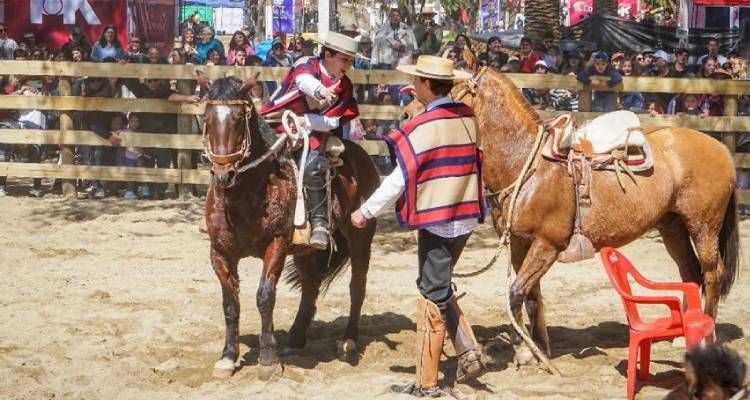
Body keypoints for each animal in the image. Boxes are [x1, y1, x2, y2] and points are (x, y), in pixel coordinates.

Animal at [204, 76, 382, 380]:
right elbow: (230, 303)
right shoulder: (219, 252)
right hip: (306, 251)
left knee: (357, 286)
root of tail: (364, 158)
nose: (223, 174)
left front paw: (267, 359)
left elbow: (265, 297)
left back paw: (348, 341)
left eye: (238, 119)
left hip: (360, 237)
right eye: (206, 117)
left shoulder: (275, 245)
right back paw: (295, 341)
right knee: (310, 287)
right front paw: (227, 357)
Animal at [406, 68, 740, 366]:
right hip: (673, 227)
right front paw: (539, 348)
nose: (408, 113)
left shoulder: (547, 245)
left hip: (703, 225)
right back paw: (683, 334)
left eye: (448, 88)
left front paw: (525, 352)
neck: (525, 162)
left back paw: (705, 334)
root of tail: (721, 147)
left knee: (712, 274)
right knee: (691, 272)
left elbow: (516, 294)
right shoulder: (521, 243)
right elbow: (532, 296)